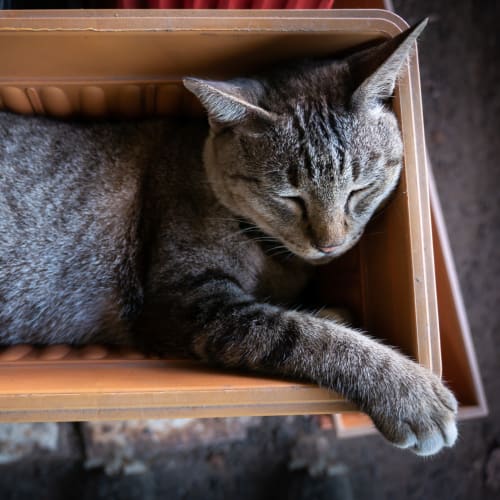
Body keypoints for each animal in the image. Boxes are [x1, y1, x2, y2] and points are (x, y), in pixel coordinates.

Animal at [0, 19, 458, 458]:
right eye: (288, 197)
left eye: (360, 189)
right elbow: (304, 334)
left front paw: (332, 312)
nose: (330, 244)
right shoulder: (188, 301)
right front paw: (409, 393)